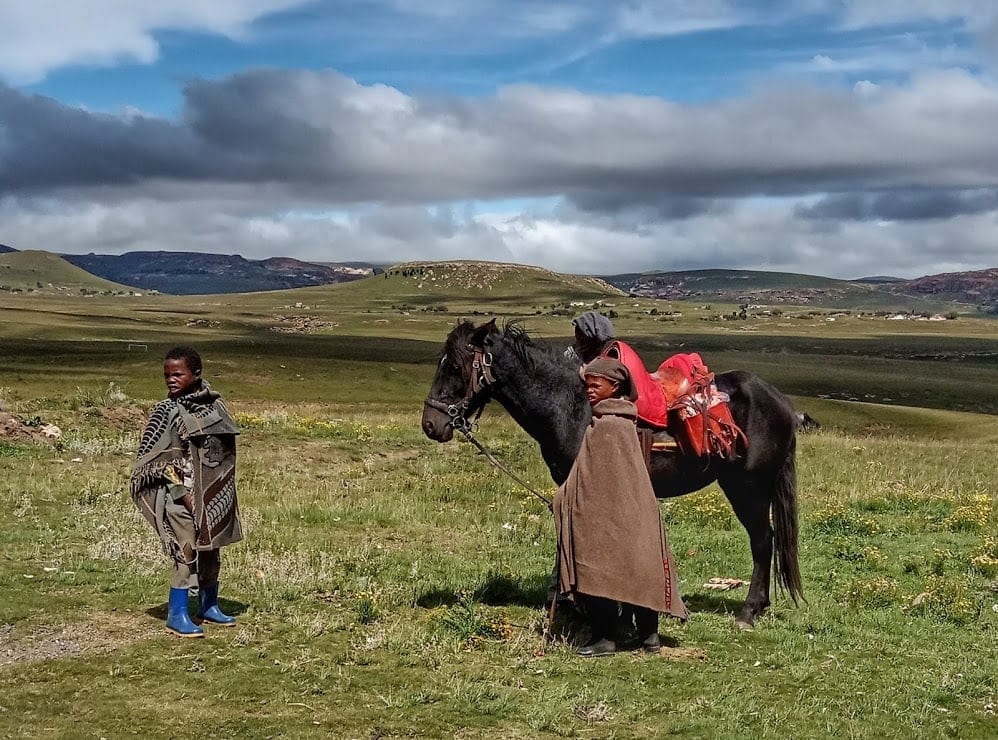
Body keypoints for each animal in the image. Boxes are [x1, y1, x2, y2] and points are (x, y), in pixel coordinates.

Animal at [422, 320, 804, 632]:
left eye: (454, 367)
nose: (430, 424)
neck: (570, 406)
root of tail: (782, 402)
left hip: (748, 488)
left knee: (762, 541)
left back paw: (748, 612)